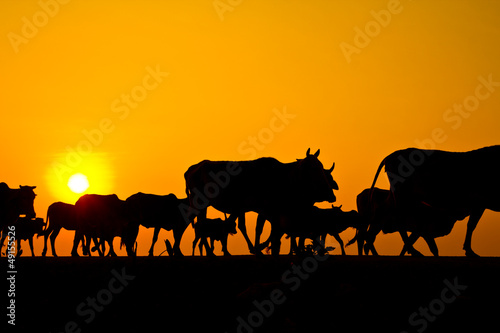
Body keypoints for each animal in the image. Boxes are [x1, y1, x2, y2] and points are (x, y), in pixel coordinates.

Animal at [184, 148, 336, 254]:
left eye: (321, 166)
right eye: (313, 167)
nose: (330, 192)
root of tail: (192, 168)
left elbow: (270, 231)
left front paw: (261, 248)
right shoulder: (265, 209)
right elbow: (263, 230)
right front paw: (261, 248)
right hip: (200, 203)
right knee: (202, 224)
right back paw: (211, 253)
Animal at [368, 144, 500, 255]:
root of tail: (390, 156)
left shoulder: (478, 204)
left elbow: (471, 225)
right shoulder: (479, 202)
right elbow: (471, 225)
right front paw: (469, 251)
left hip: (396, 194)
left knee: (384, 212)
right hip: (402, 194)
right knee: (398, 217)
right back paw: (414, 251)